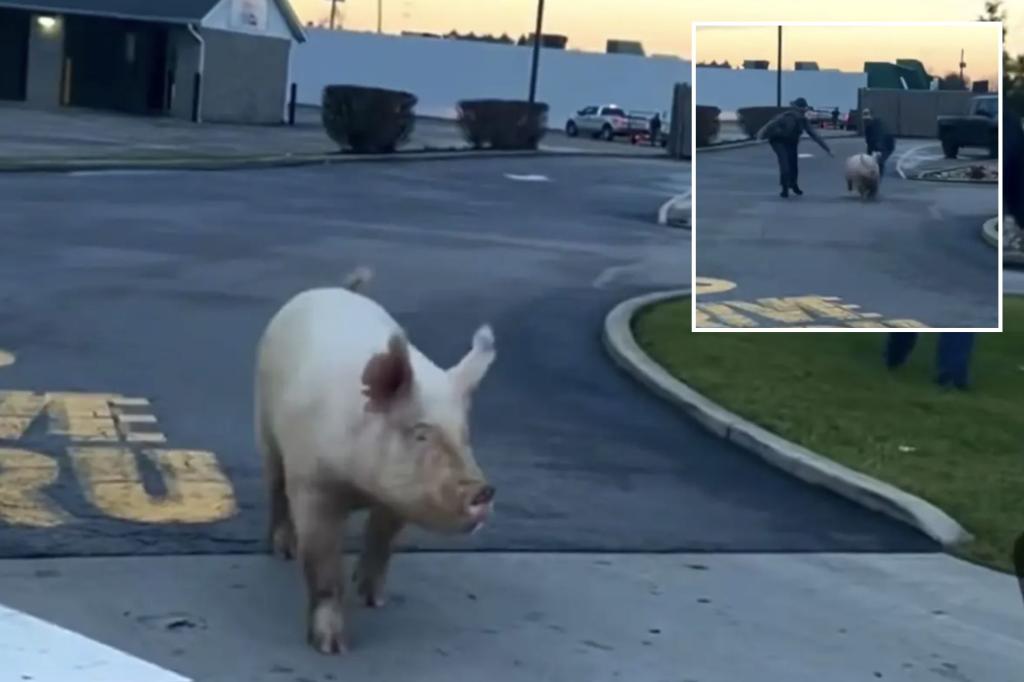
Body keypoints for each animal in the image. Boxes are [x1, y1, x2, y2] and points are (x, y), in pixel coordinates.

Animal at [253, 262, 497, 651]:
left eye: (464, 434)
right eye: (420, 433)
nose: (483, 490)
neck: (360, 488)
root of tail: (339, 290)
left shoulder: (398, 500)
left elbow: (383, 543)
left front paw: (374, 600)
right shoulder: (312, 486)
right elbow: (323, 566)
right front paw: (332, 647)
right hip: (263, 423)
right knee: (276, 487)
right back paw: (282, 550)